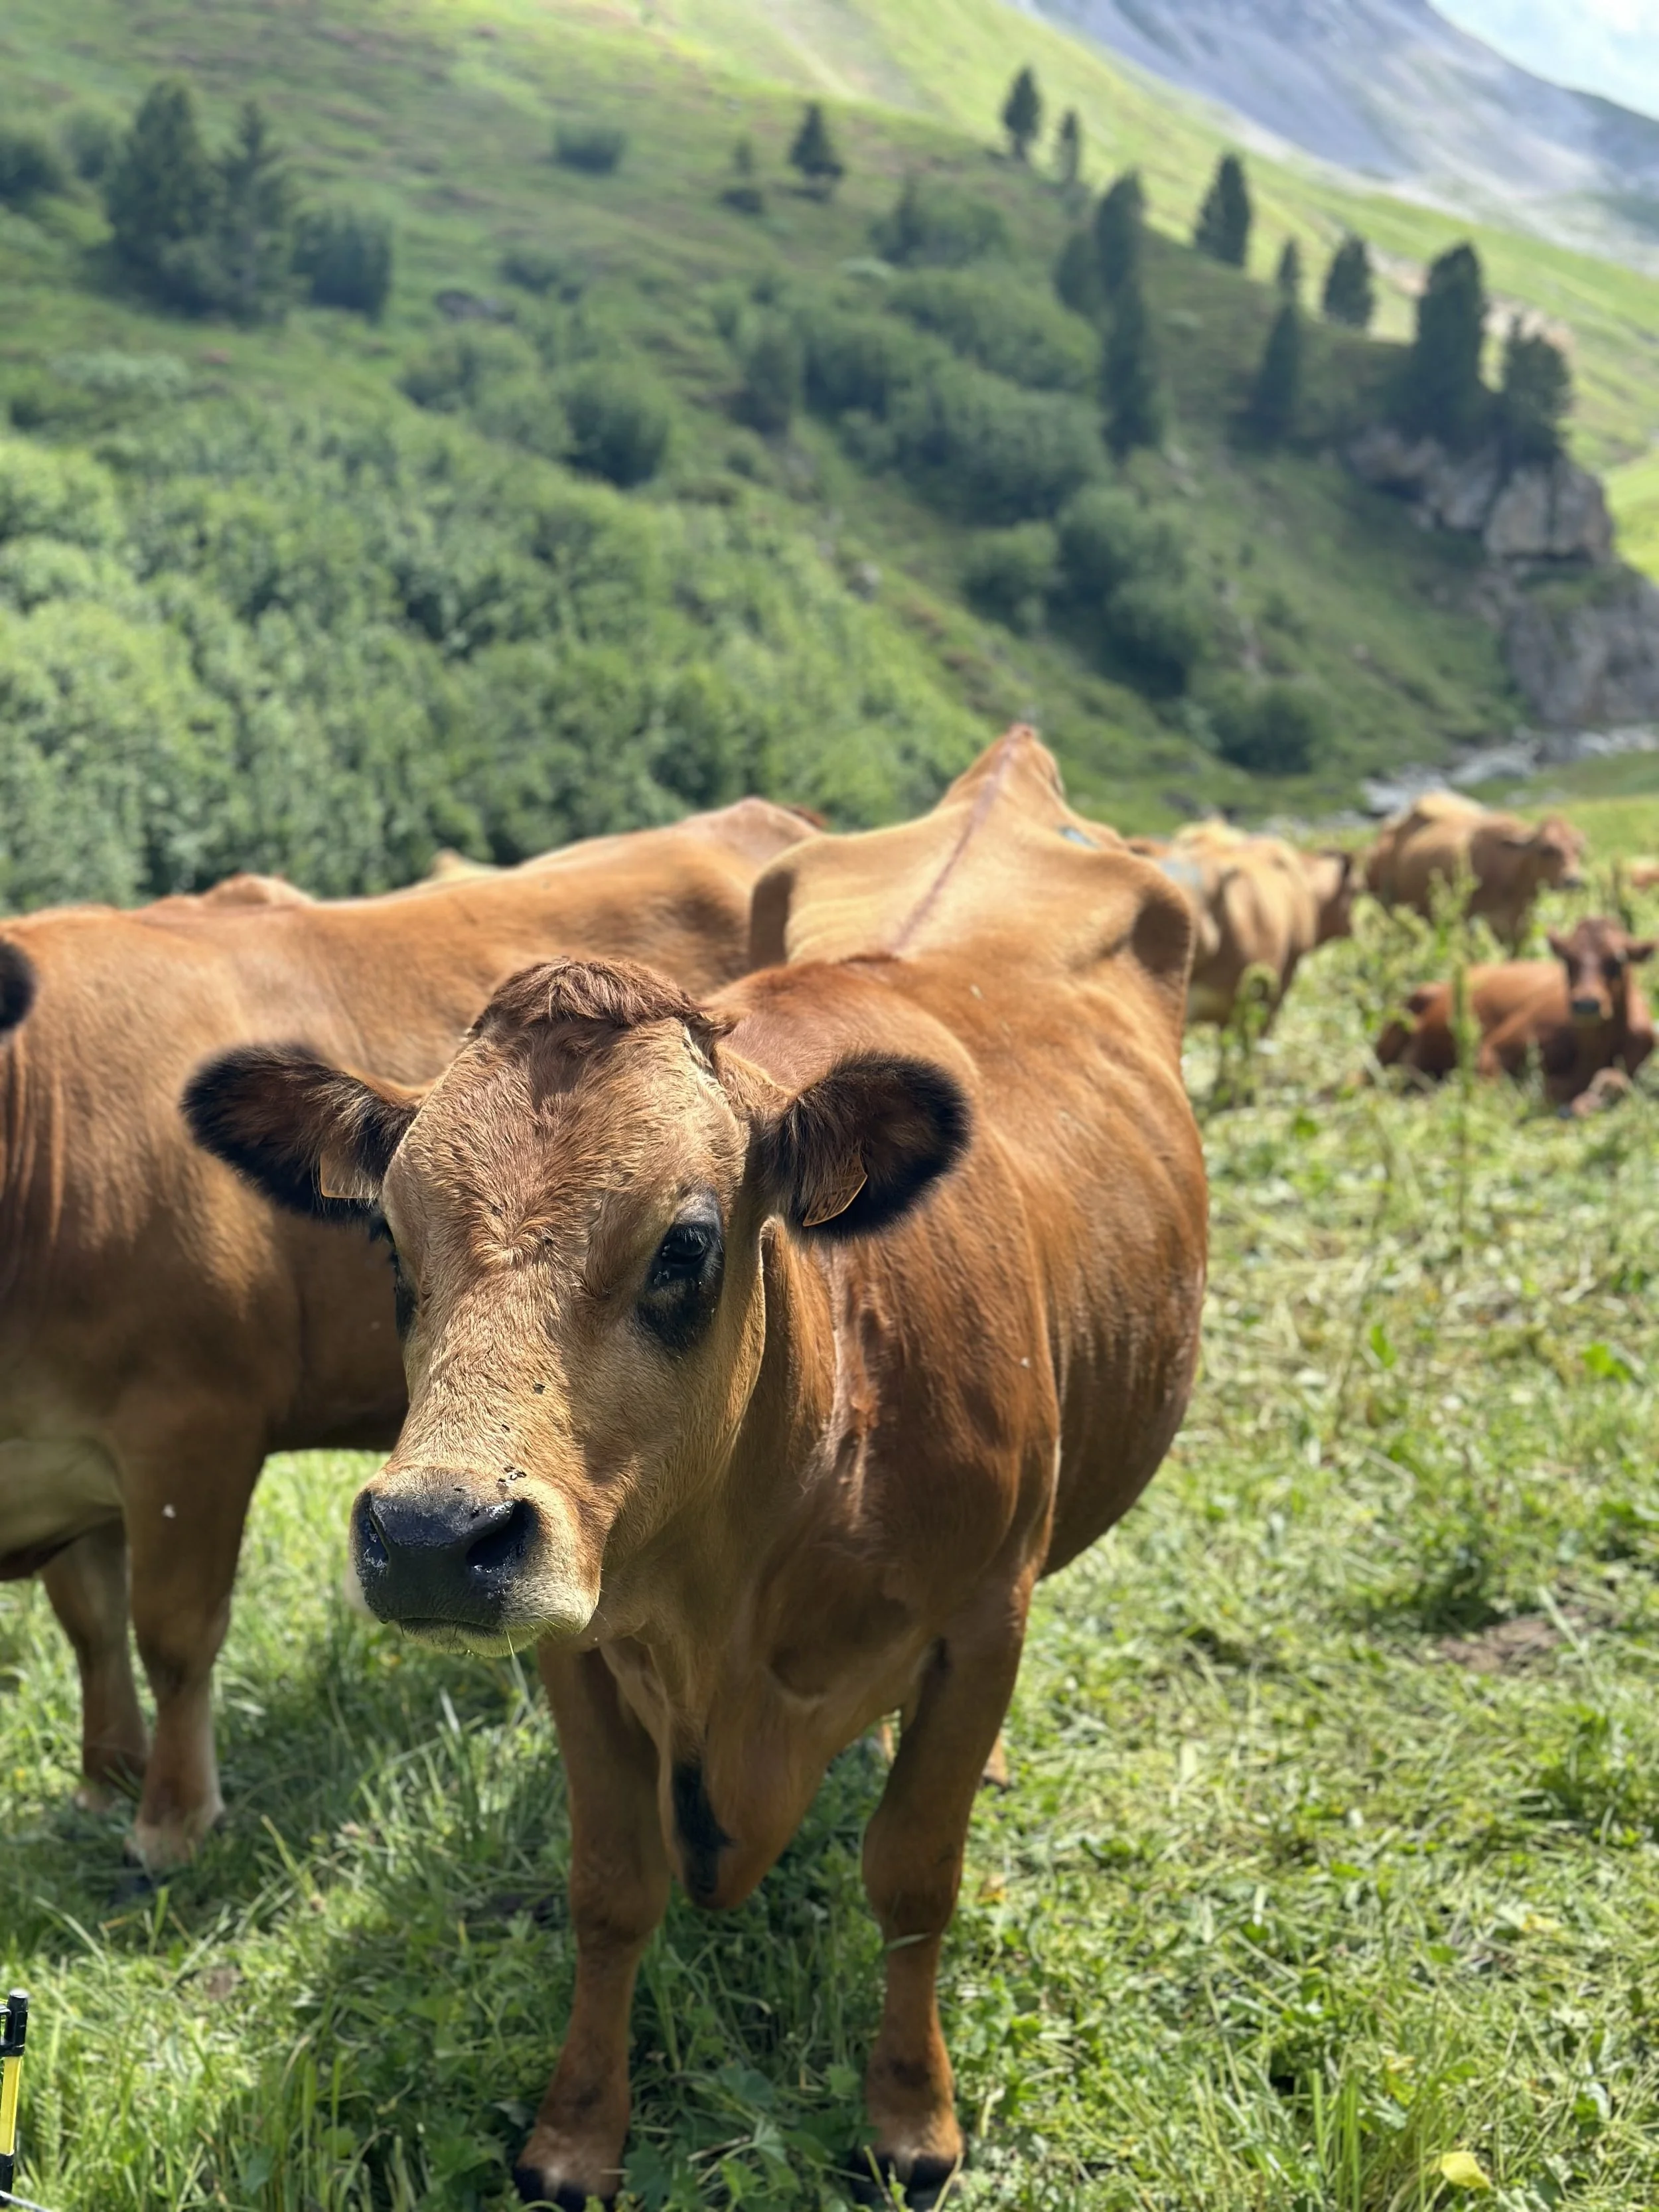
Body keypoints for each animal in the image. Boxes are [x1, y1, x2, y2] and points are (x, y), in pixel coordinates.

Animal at [0, 799, 814, 1872]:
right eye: (385, 1234)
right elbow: (89, 1626)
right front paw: (105, 1780)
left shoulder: (190, 1429)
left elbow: (170, 1633)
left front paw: (170, 1821)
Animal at [185, 727, 1208, 2207]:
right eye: (386, 1237)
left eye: (686, 1245)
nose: (433, 1534)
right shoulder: (574, 1629)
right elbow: (610, 1884)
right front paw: (574, 2131)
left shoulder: (978, 1614)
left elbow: (915, 1870)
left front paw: (912, 2116)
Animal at [1363, 790, 1586, 949]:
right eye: (1546, 849)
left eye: (1578, 849)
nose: (1573, 880)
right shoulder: (1472, 927)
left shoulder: (1518, 931)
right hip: (1390, 909)